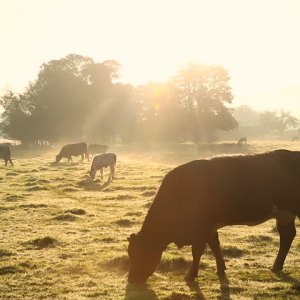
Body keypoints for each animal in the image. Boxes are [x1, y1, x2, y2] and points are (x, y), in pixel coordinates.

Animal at [127, 150, 300, 284]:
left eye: (140, 254)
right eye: (130, 254)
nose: (131, 280)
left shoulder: (202, 228)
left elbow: (197, 251)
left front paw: (190, 276)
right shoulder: (209, 227)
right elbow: (215, 245)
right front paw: (221, 268)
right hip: (284, 215)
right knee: (287, 236)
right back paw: (276, 266)